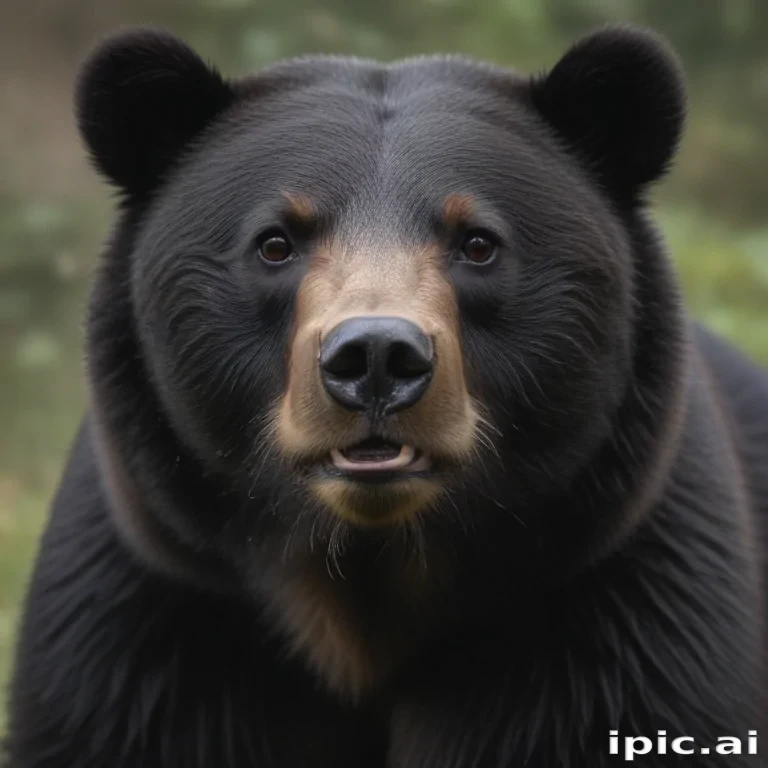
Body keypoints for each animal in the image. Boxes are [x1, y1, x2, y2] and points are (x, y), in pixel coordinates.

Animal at [4, 22, 768, 768]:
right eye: (275, 242)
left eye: (478, 242)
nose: (375, 357)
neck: (365, 594)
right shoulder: (153, 616)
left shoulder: (611, 611)